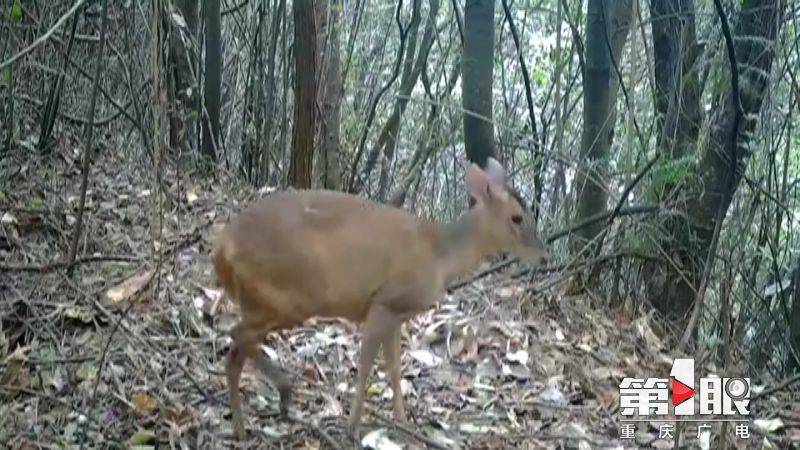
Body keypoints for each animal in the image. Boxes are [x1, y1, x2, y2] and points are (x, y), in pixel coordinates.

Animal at [211, 157, 552, 440]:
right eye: (517, 218)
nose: (543, 257)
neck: (440, 255)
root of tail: (223, 248)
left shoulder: (398, 315)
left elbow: (394, 370)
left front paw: (403, 423)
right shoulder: (383, 302)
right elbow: (365, 367)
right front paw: (352, 427)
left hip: (265, 301)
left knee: (235, 352)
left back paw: (242, 428)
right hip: (287, 295)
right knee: (237, 335)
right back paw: (282, 393)